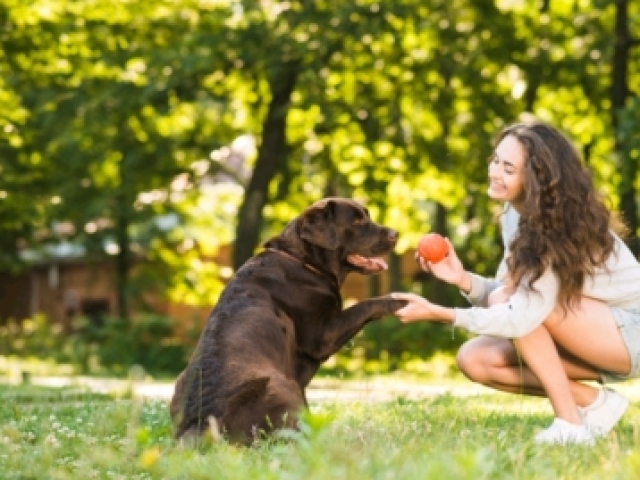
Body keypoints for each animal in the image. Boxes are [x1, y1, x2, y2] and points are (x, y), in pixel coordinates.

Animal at [170, 197, 404, 444]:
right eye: (357, 221)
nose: (395, 233)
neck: (304, 261)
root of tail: (201, 421)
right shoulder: (322, 336)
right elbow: (366, 304)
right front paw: (400, 301)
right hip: (280, 384)